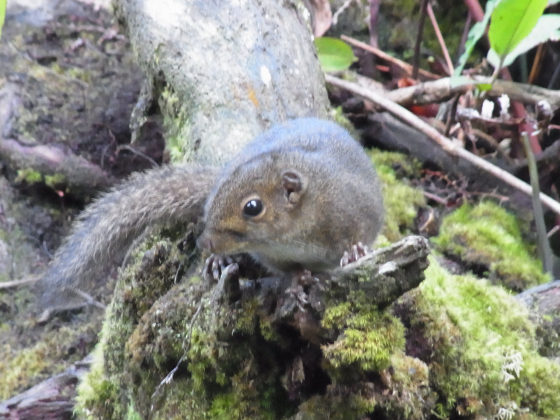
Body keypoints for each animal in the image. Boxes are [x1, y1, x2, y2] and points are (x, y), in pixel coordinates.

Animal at [36, 118, 384, 308]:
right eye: (215, 198)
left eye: (253, 207)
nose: (206, 243)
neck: (295, 232)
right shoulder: (273, 255)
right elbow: (289, 270)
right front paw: (298, 281)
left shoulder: (355, 208)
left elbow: (358, 236)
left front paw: (355, 251)